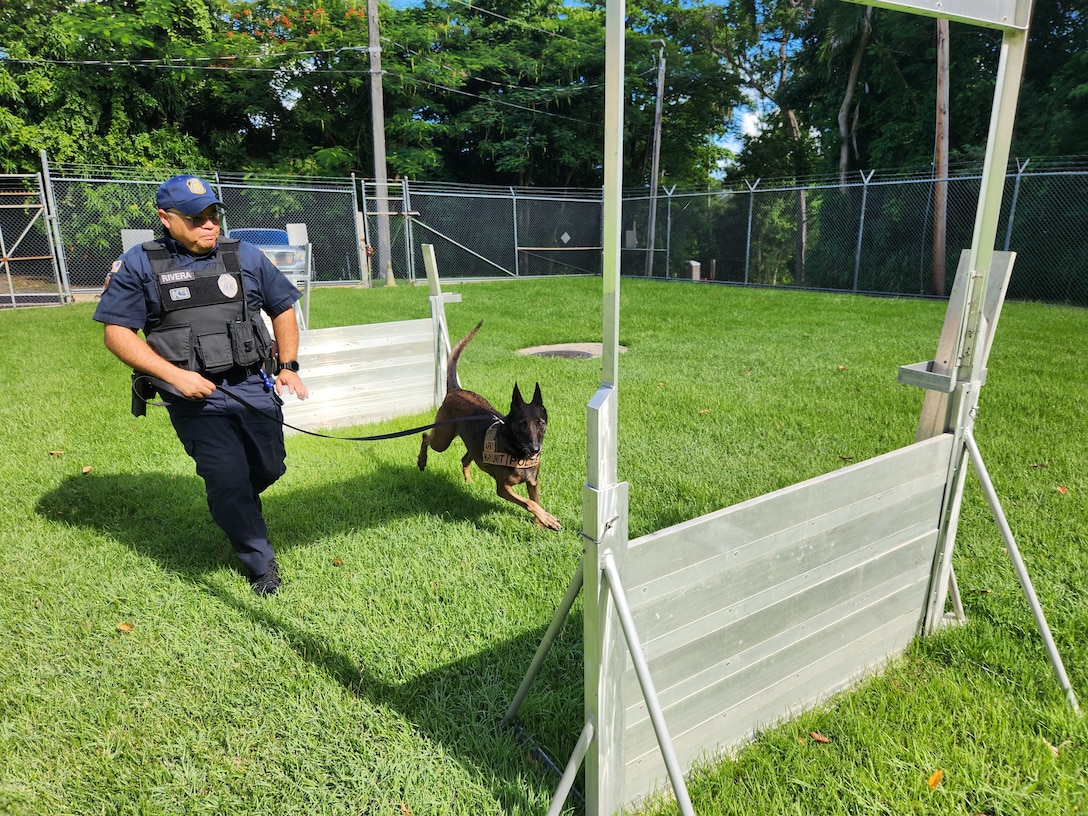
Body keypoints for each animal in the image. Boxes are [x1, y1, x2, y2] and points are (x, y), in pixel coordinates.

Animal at [415, 319, 561, 530]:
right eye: (523, 425)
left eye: (541, 423)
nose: (535, 449)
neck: (517, 451)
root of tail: (455, 390)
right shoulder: (503, 488)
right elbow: (529, 503)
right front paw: (548, 519)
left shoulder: (533, 482)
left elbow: (535, 501)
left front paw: (541, 522)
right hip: (443, 439)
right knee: (426, 436)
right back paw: (422, 460)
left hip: (471, 445)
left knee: (465, 458)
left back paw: (468, 481)